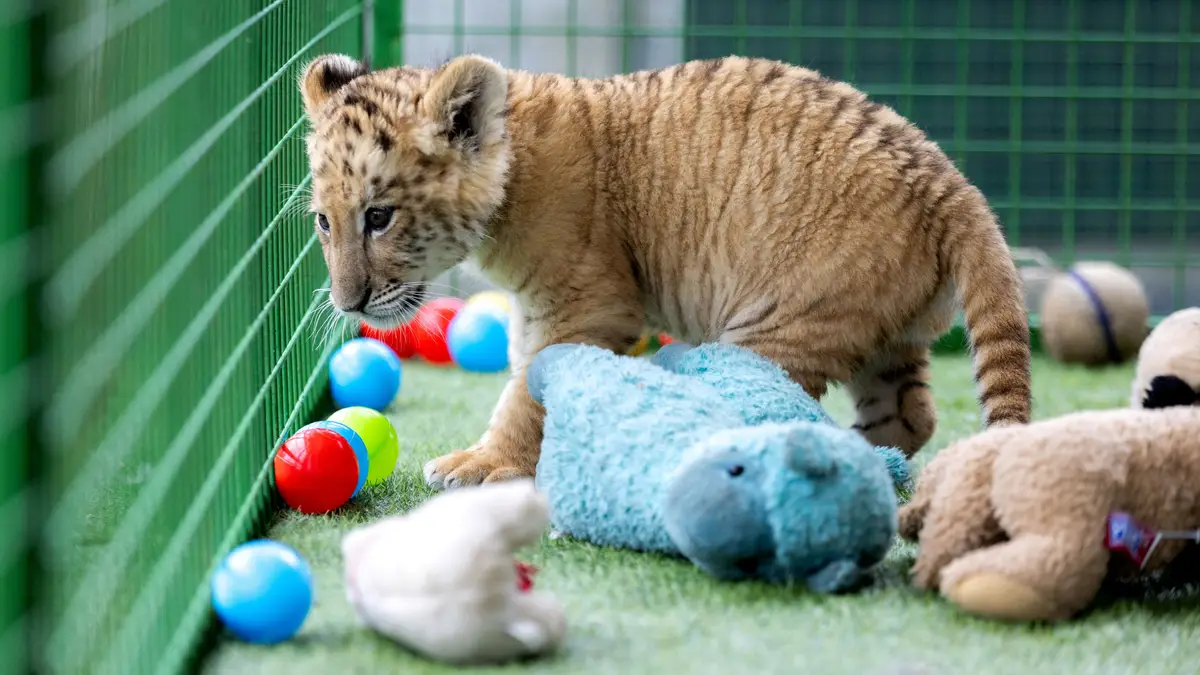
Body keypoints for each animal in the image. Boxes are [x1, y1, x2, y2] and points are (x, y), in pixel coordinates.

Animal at [297, 52, 1032, 491]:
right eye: (325, 222)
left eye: (380, 216)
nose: (349, 304)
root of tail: (947, 182)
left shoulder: (586, 305)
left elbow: (528, 392)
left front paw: (480, 464)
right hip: (883, 335)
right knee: (913, 415)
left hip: (781, 327)